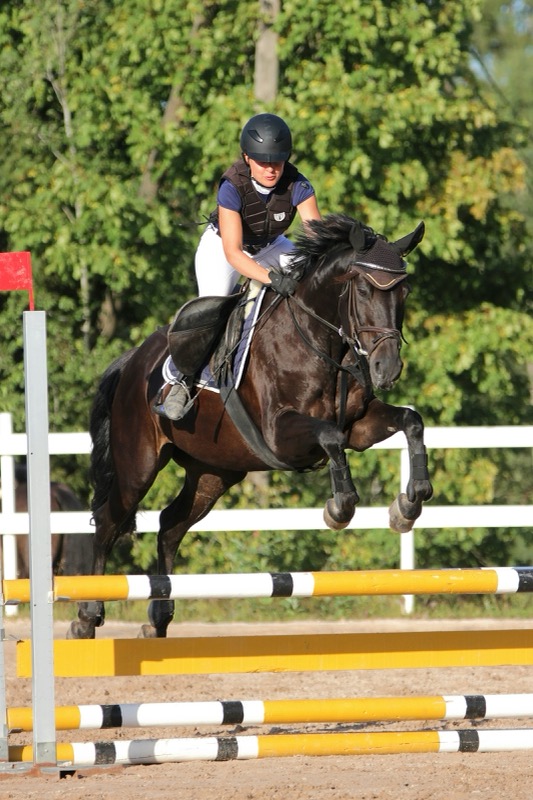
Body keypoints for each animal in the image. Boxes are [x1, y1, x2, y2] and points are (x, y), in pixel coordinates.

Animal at [68, 213, 433, 640]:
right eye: (362, 289)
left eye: (404, 291)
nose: (386, 368)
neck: (321, 343)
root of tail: (132, 361)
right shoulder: (280, 437)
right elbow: (330, 438)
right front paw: (340, 508)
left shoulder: (359, 427)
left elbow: (411, 421)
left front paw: (408, 505)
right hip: (138, 466)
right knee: (109, 520)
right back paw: (88, 616)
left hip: (214, 471)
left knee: (170, 525)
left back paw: (158, 617)